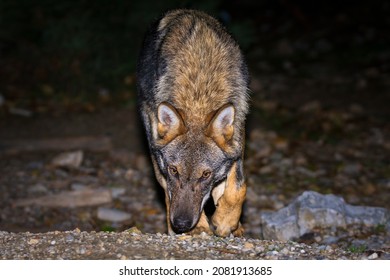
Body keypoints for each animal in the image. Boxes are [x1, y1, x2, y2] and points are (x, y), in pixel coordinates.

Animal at [136, 8, 248, 236]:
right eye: (173, 170)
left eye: (205, 174)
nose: (181, 224)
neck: (199, 93)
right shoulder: (157, 153)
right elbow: (169, 193)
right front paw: (200, 228)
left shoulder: (238, 135)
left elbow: (237, 189)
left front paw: (225, 221)